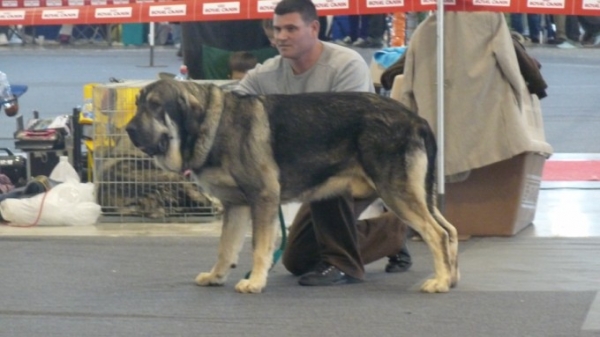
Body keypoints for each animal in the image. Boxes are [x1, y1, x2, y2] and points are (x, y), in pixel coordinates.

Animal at [125, 80, 460, 292]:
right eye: (138, 104)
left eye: (156, 106)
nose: (128, 129)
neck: (215, 124)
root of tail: (417, 120)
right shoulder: (236, 206)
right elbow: (225, 247)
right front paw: (216, 276)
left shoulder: (263, 198)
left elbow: (259, 248)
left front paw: (255, 282)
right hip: (419, 193)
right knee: (451, 230)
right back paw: (452, 277)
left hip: (397, 191)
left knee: (437, 234)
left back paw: (440, 282)